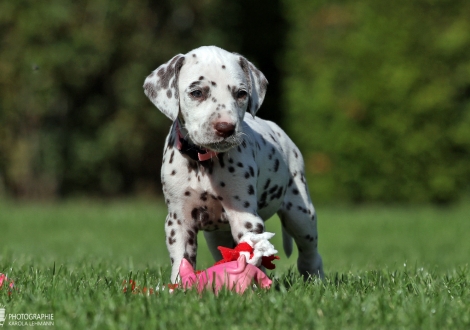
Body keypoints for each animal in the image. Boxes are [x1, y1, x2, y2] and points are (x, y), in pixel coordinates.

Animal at [144, 45, 324, 282]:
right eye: (197, 93)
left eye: (241, 93)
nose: (226, 128)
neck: (204, 163)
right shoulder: (179, 220)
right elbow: (182, 260)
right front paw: (179, 285)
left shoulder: (246, 219)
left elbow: (250, 257)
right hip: (217, 236)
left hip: (301, 214)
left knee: (310, 253)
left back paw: (315, 278)